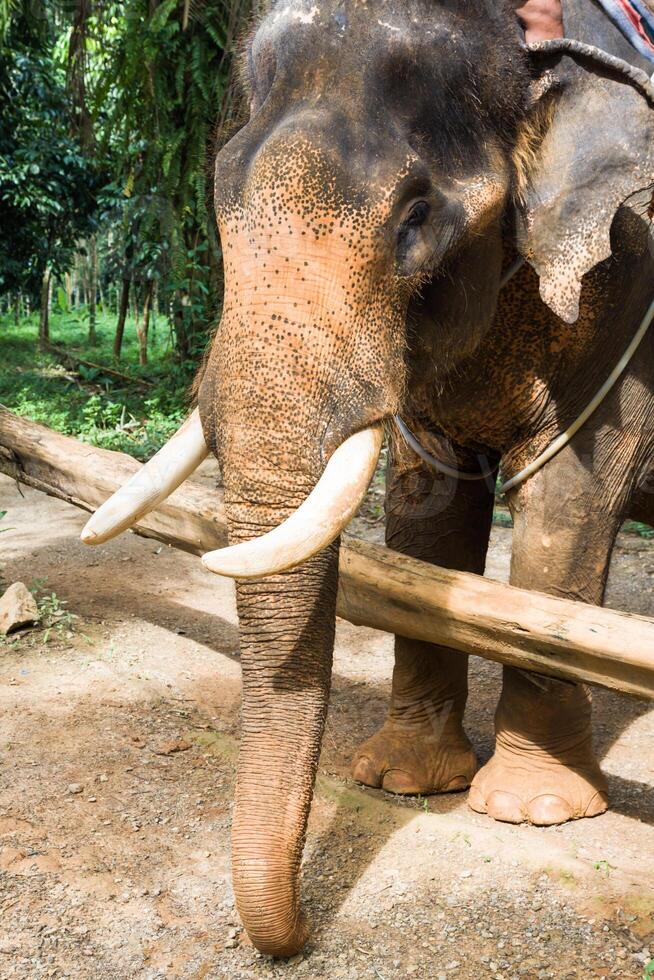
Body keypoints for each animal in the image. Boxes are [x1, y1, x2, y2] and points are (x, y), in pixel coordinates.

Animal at [82, 0, 654, 956]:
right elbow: (429, 506)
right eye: (221, 198)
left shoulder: (631, 287)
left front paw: (532, 809)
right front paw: (402, 780)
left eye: (415, 218)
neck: (528, 44)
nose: (300, 933)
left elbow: (570, 499)